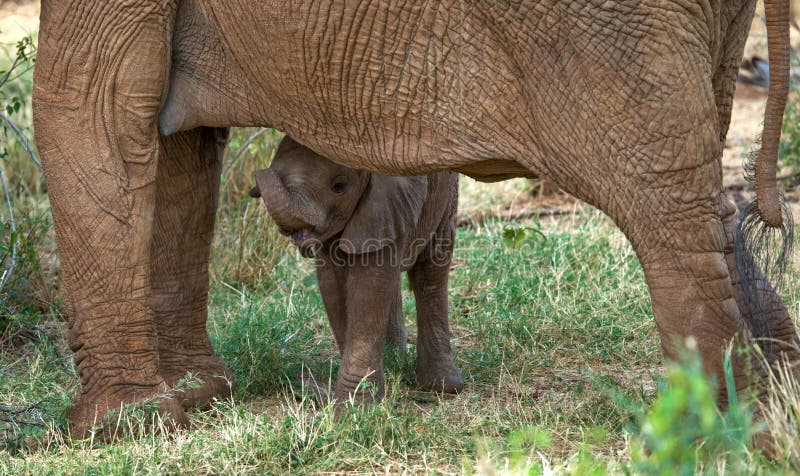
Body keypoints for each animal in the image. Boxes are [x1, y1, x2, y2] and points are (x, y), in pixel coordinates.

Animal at [250, 138, 462, 402]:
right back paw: (392, 361)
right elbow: (332, 284)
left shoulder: (386, 203)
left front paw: (357, 404)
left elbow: (370, 282)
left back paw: (443, 386)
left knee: (430, 271)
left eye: (339, 187)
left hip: (447, 195)